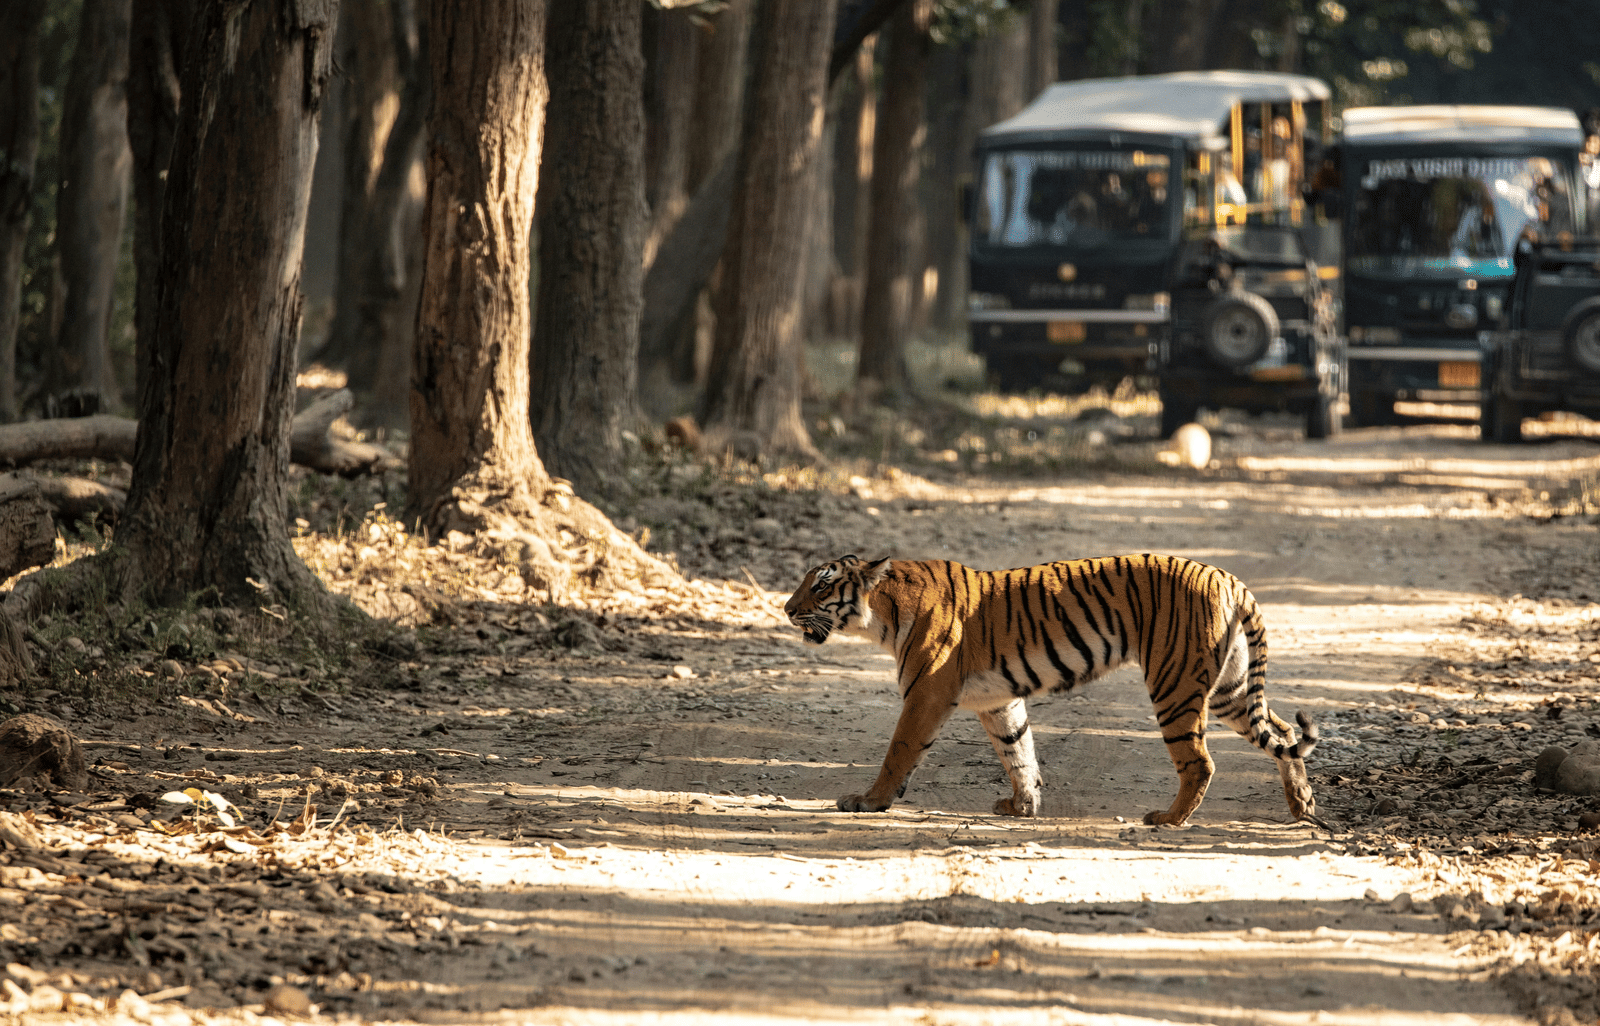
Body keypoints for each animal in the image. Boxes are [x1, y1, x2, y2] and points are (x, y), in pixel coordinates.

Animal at [783, 553, 1318, 827]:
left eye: (820, 586)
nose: (787, 608)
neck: (883, 615)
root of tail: (1227, 576)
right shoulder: (999, 699)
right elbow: (1018, 752)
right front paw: (1022, 806)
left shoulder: (926, 693)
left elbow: (899, 751)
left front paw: (868, 802)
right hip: (1230, 689)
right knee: (1284, 732)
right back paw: (1303, 806)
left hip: (1175, 684)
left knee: (1201, 761)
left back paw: (1168, 818)